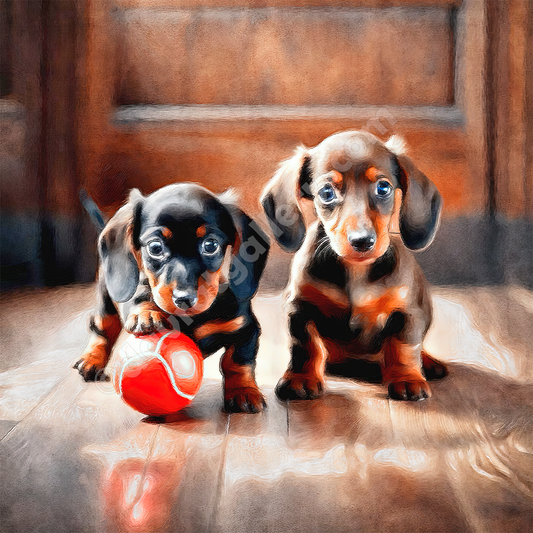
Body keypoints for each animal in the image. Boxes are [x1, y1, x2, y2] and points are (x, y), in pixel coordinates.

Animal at [75, 183, 270, 412]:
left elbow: (238, 362)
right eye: (155, 247)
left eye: (211, 245)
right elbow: (141, 299)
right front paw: (146, 314)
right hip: (106, 300)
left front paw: (244, 391)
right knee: (103, 328)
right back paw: (92, 360)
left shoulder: (246, 329)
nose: (184, 299)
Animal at [260, 131, 446, 402]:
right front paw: (300, 379)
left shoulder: (408, 311)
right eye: (326, 192)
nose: (362, 241)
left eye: (383, 187)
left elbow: (404, 346)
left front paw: (407, 379)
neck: (355, 273)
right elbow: (305, 346)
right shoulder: (300, 307)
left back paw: (429, 363)